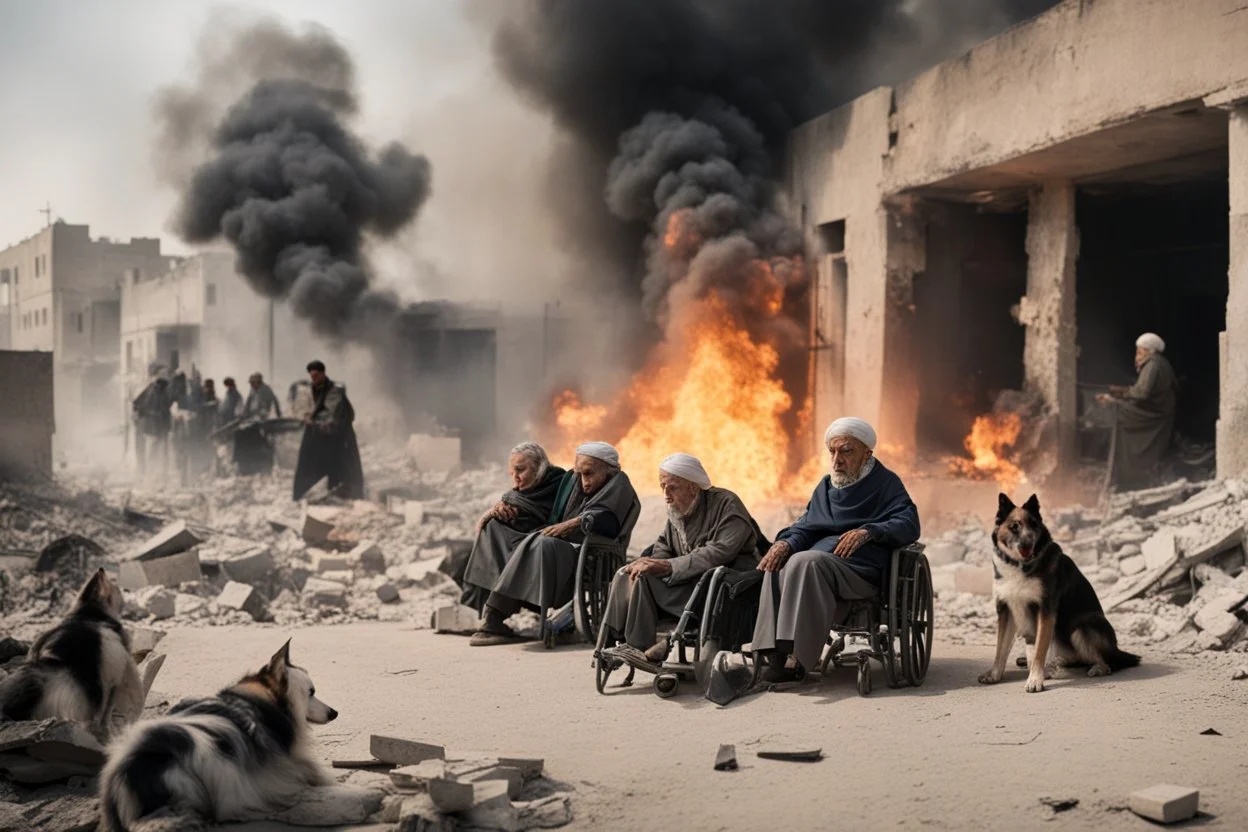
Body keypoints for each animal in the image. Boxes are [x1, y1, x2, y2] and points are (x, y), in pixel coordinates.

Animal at [973, 491, 1143, 693]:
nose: (1029, 542)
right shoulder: (1006, 611)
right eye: (1014, 527)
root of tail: (1116, 650)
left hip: (1081, 628)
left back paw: (1094, 668)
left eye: (1034, 525)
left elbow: (1039, 651)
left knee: (1107, 663)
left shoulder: (1045, 611)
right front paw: (994, 675)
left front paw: (1034, 680)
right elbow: (1001, 649)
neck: (1020, 566)